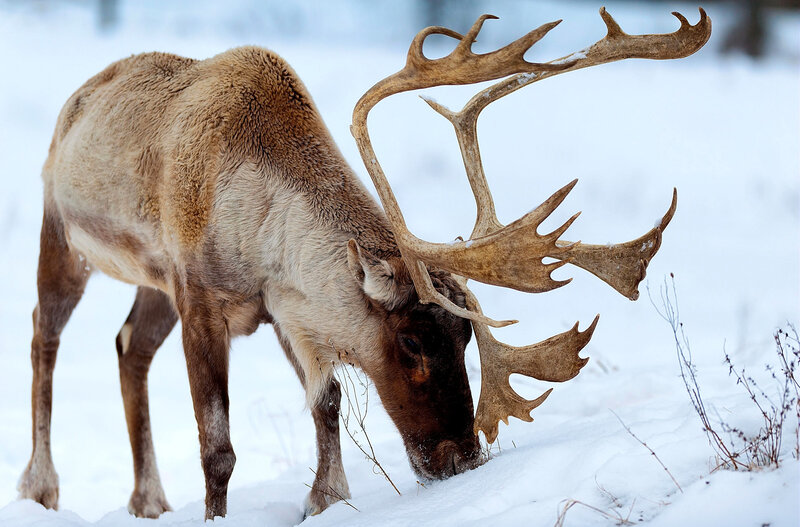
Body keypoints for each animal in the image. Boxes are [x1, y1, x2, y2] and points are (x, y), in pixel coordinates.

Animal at [18, 7, 710, 521]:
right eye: (410, 342)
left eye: (466, 336)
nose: (462, 459)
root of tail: (80, 97)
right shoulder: (200, 298)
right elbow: (218, 448)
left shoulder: (284, 310)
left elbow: (325, 404)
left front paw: (327, 498)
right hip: (63, 235)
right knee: (42, 336)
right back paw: (41, 486)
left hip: (151, 285)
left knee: (129, 345)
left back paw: (149, 500)